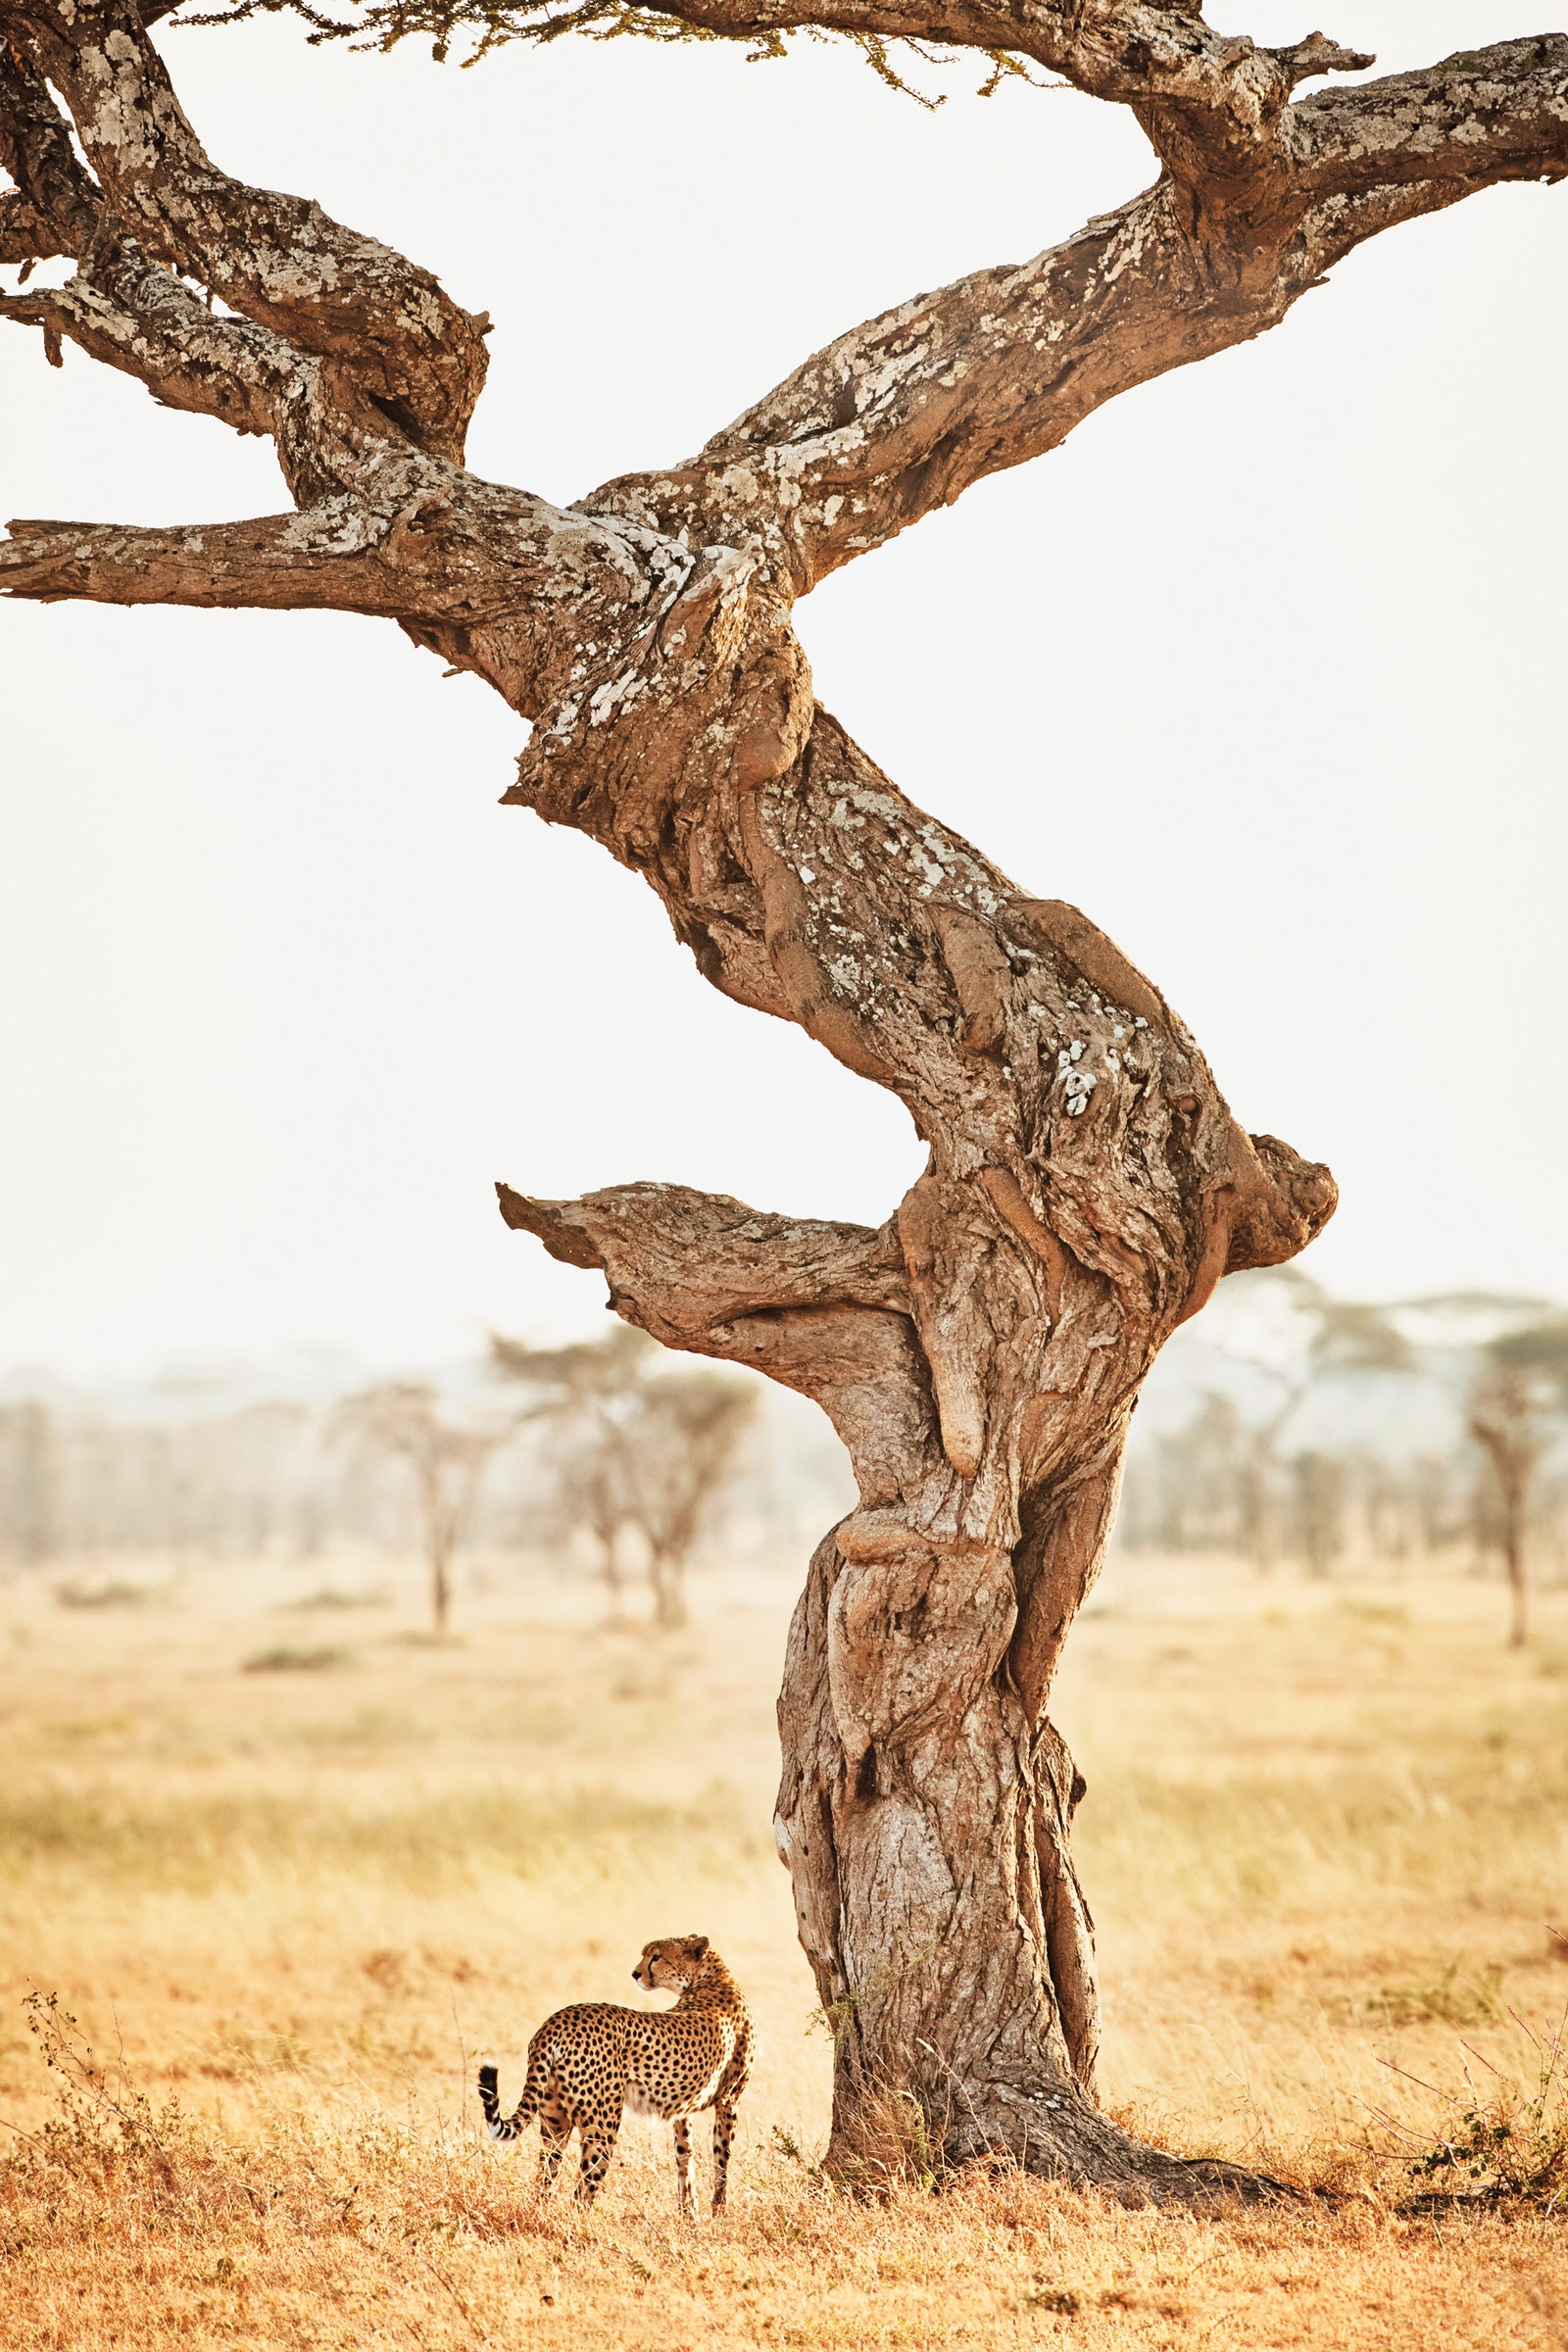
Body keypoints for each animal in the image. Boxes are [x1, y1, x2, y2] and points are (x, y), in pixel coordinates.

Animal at [474, 1929, 752, 2201]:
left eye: (656, 1956)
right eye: (646, 1955)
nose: (635, 1973)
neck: (712, 1978)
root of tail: (555, 2021)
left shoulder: (684, 2111)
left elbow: (686, 2162)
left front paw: (690, 2211)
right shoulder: (729, 2099)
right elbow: (721, 2164)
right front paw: (718, 2211)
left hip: (555, 2123)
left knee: (544, 2180)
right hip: (602, 2126)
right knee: (581, 2193)